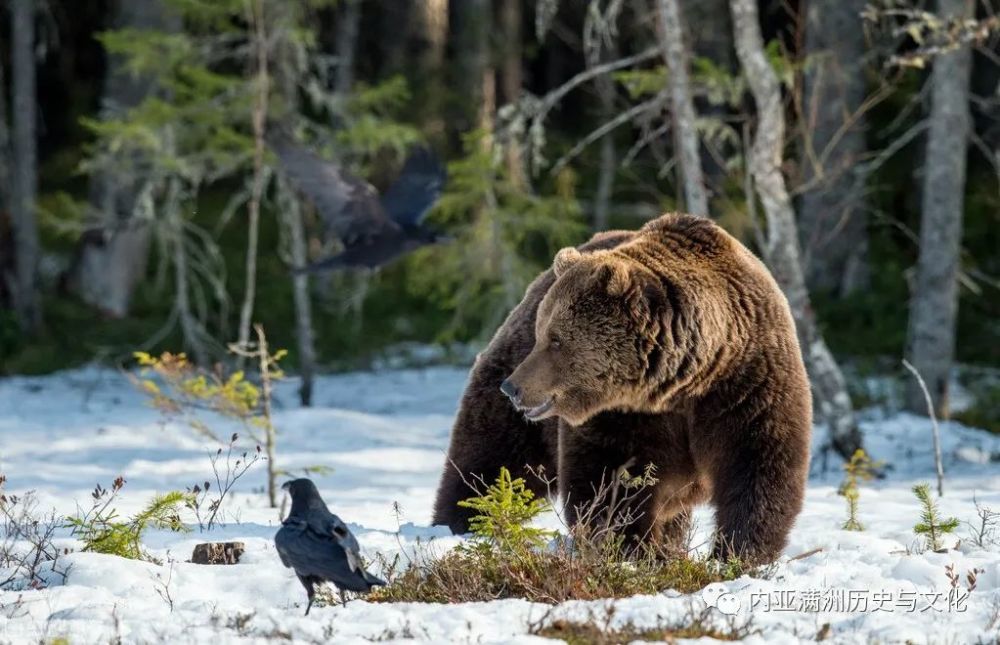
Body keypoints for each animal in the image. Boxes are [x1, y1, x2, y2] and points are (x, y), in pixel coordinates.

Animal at [432, 213, 812, 564]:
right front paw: (632, 550)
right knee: (492, 460)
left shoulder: (747, 384)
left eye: (556, 340)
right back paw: (461, 523)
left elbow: (759, 463)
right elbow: (611, 478)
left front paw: (738, 552)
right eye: (542, 334)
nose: (512, 387)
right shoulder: (623, 414)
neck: (684, 381)